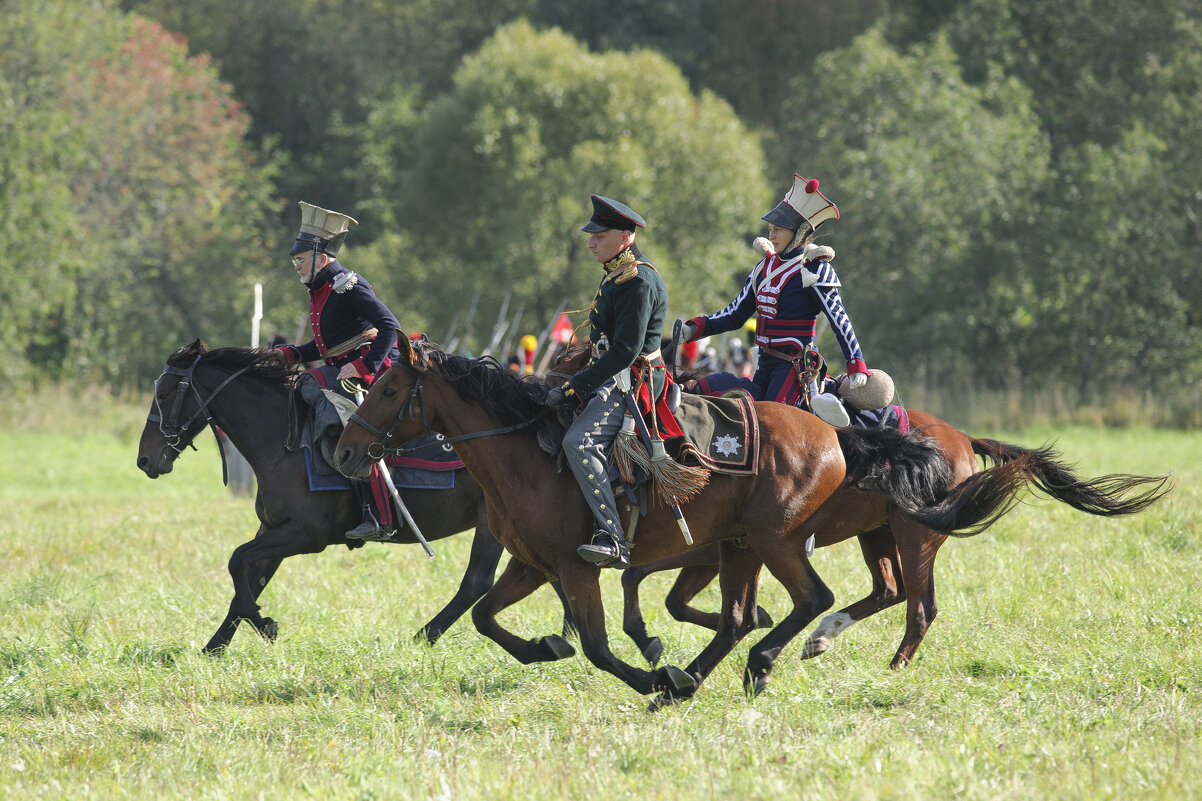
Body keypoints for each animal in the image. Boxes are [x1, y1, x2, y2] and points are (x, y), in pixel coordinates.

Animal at [134, 339, 574, 654]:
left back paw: (425, 636)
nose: (145, 459)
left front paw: (265, 626)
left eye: (166, 391)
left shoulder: (304, 536)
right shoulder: (273, 532)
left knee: (478, 581)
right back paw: (565, 630)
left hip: (491, 523)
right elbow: (248, 579)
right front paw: (217, 645)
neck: (284, 439)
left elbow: (237, 561)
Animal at [334, 334, 1057, 702]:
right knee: (807, 605)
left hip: (804, 538)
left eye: (390, 388)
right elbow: (488, 616)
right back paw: (709, 673)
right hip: (767, 543)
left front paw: (647, 667)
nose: (343, 451)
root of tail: (836, 435)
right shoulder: (534, 564)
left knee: (845, 599)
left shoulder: (585, 565)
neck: (531, 451)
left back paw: (759, 663)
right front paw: (548, 646)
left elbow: (602, 642)